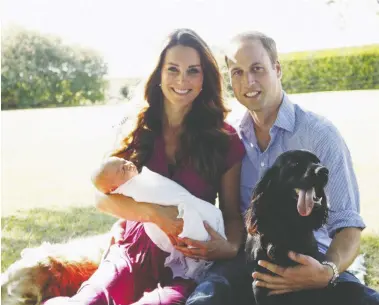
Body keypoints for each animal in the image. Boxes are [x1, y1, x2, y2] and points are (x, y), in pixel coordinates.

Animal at [245, 150, 364, 304]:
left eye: (318, 162)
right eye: (295, 163)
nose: (324, 171)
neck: (291, 224)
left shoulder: (311, 283)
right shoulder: (261, 283)